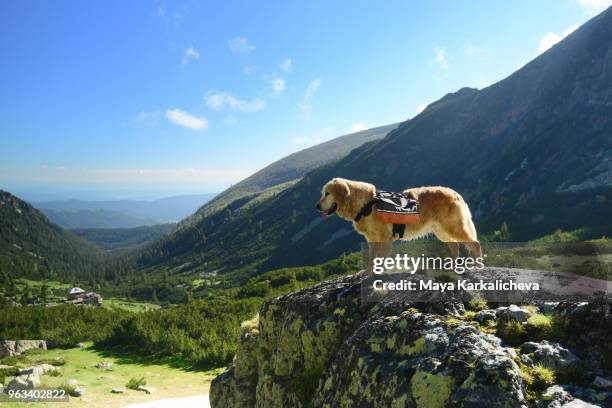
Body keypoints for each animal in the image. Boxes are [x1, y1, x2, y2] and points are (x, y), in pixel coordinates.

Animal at [316, 177, 482, 260]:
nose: (317, 207)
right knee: (455, 246)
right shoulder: (371, 239)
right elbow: (372, 258)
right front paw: (368, 274)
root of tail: (455, 193)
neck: (365, 204)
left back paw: (477, 265)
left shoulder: (384, 237)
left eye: (327, 193)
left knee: (475, 243)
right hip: (441, 231)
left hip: (453, 227)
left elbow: (379, 258)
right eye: (322, 193)